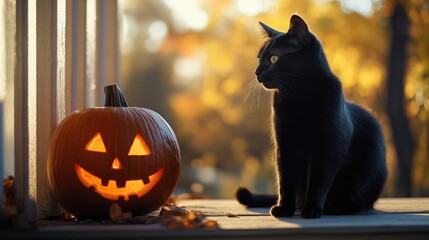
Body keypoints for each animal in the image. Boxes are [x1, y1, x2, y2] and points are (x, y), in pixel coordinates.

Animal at [236, 14, 386, 218]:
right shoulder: (284, 145)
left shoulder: (330, 147)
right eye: (259, 59)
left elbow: (318, 181)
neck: (299, 96)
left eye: (274, 58)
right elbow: (285, 180)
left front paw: (313, 209)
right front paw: (284, 208)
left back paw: (336, 207)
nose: (257, 72)